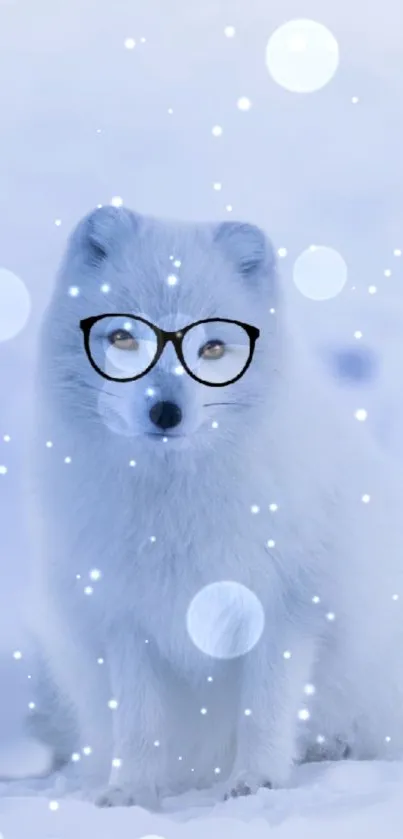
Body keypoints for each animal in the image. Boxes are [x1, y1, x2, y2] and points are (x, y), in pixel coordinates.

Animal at [27, 203, 403, 808]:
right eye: (124, 338)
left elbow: (265, 709)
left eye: (213, 348)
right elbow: (139, 721)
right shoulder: (124, 617)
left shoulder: (287, 608)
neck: (173, 511)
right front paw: (130, 793)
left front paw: (257, 782)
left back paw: (330, 747)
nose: (165, 412)